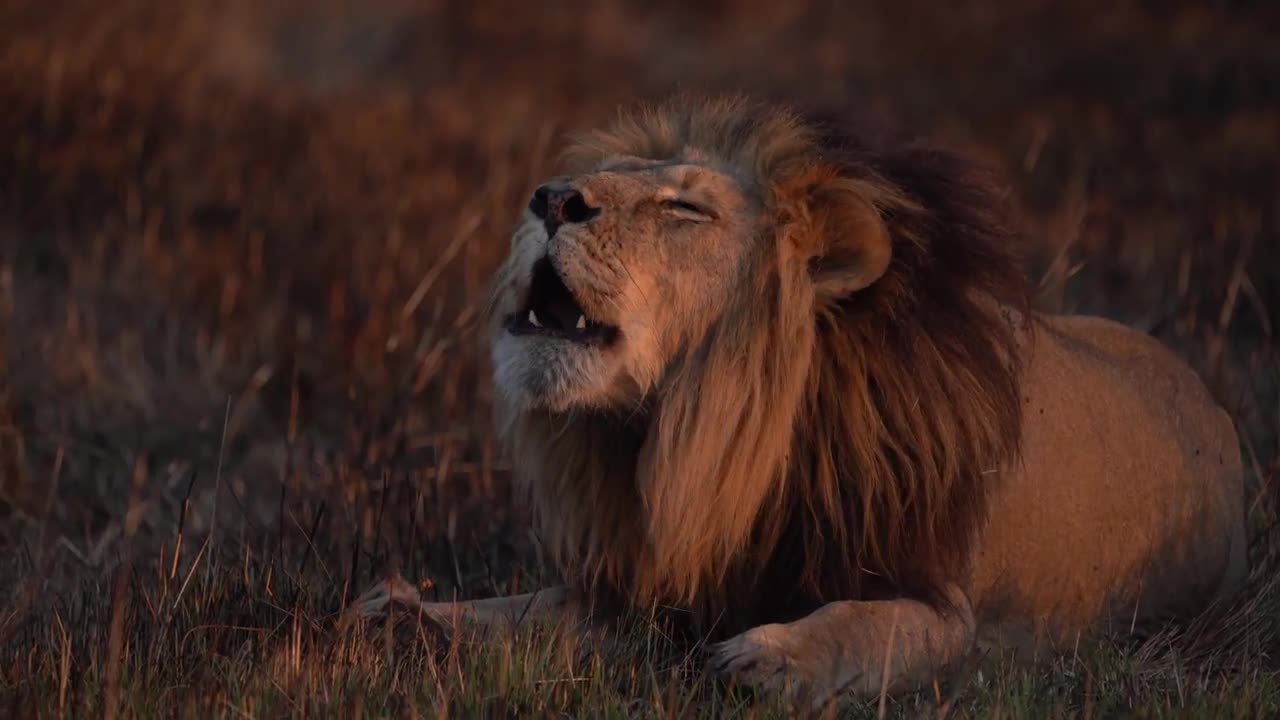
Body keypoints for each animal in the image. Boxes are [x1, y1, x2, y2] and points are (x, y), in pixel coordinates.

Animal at [353, 94, 1249, 707]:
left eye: (684, 208)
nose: (548, 198)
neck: (709, 438)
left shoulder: (948, 608)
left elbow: (873, 626)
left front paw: (771, 658)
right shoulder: (648, 590)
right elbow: (529, 607)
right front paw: (408, 615)